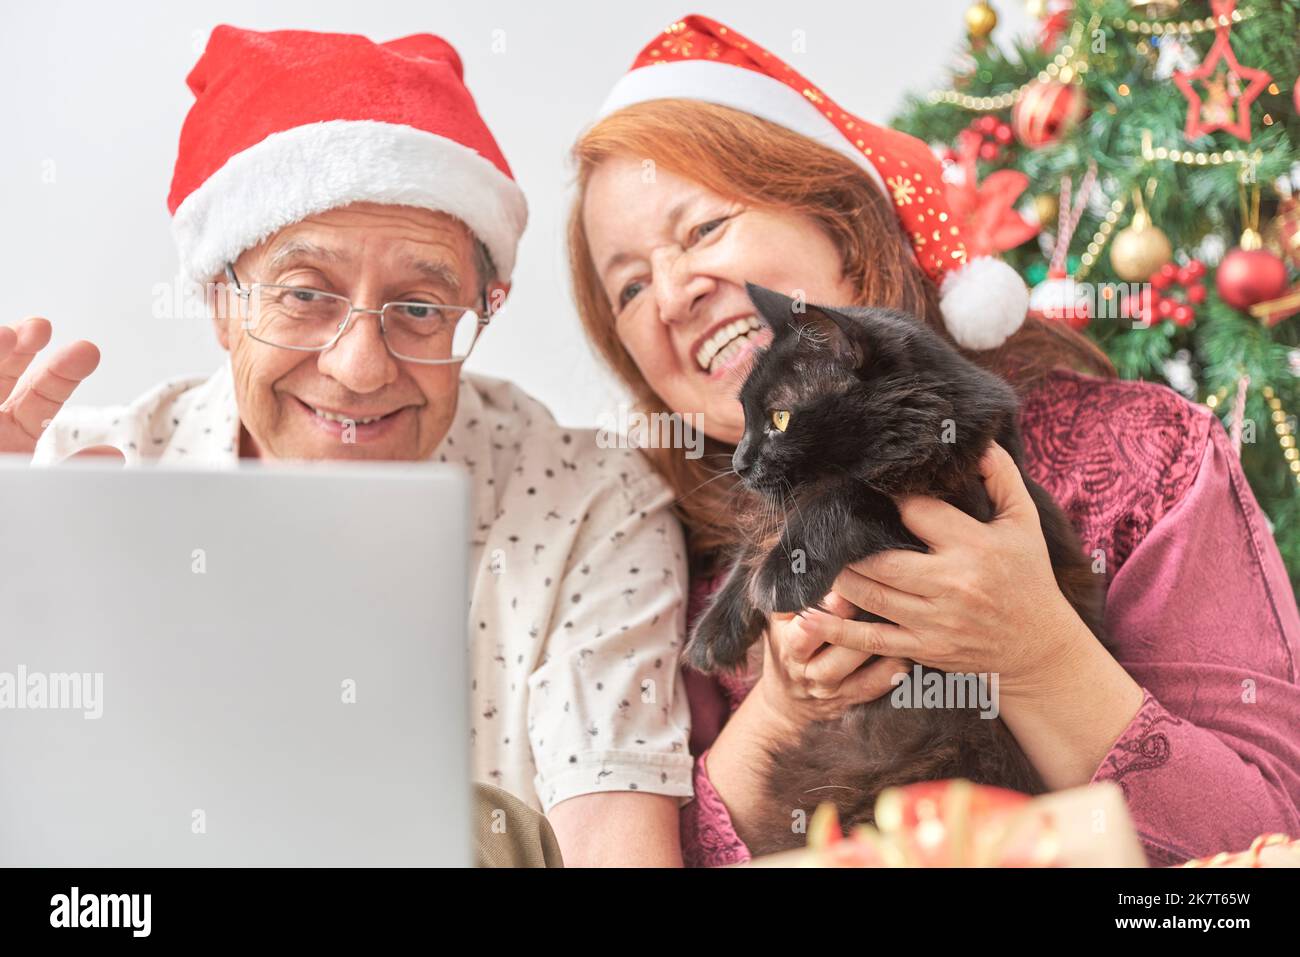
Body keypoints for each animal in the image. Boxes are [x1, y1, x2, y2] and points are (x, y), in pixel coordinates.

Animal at [691, 280, 1107, 858]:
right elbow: (757, 542)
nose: (739, 464)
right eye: (747, 418)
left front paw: (782, 578)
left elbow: (845, 497)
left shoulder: (954, 518)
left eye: (779, 419)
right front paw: (716, 632)